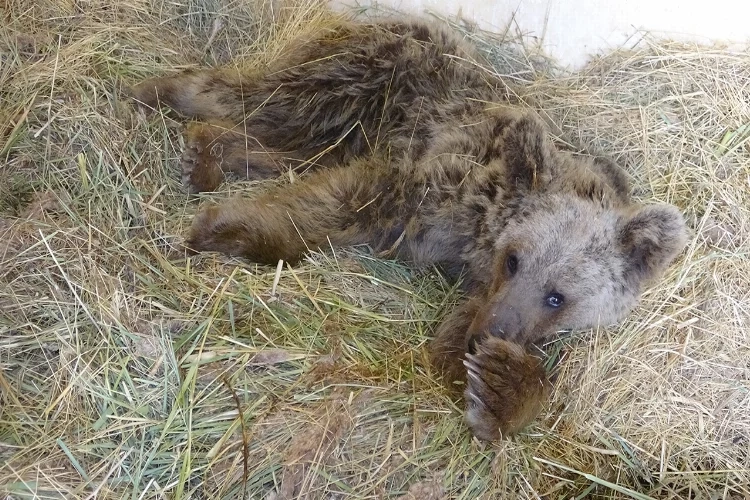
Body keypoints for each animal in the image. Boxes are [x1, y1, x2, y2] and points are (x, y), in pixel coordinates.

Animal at [128, 17, 688, 440]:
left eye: (558, 297)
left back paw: (208, 153)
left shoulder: (479, 280)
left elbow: (464, 347)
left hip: (341, 130)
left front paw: (497, 384)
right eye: (515, 260)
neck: (479, 235)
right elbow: (342, 204)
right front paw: (226, 229)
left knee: (281, 142)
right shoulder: (431, 188)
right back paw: (159, 92)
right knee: (259, 101)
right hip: (359, 82)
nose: (488, 334)